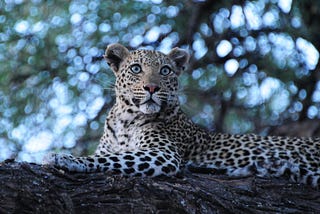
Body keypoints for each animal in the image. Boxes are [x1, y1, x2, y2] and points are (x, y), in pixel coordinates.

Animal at [43, 44, 320, 187]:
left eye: (165, 70)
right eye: (136, 69)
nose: (152, 88)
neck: (125, 121)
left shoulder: (162, 154)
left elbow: (109, 159)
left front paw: (65, 158)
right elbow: (108, 155)